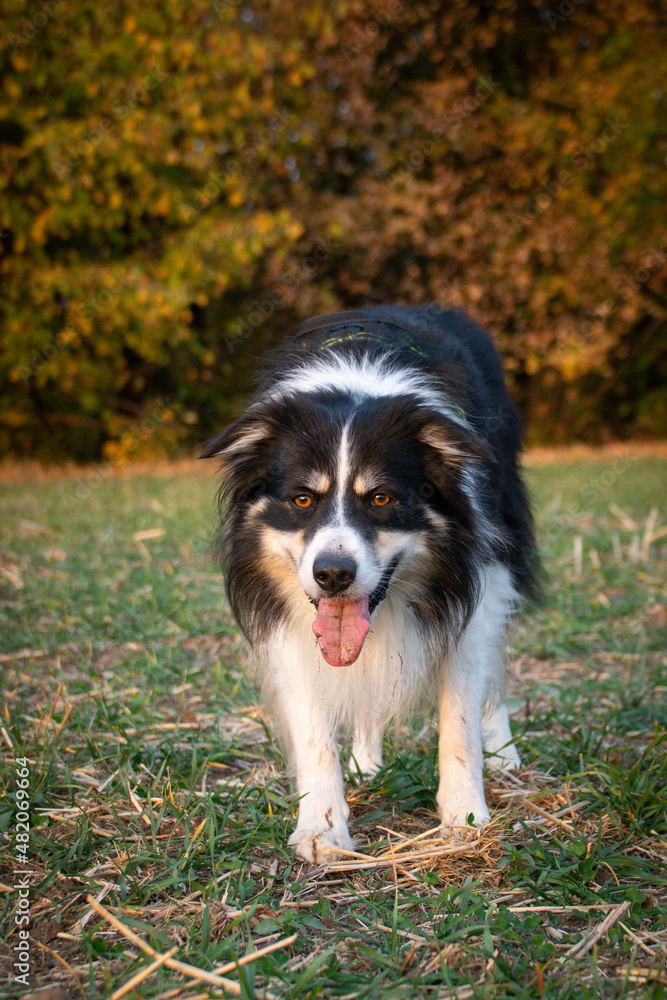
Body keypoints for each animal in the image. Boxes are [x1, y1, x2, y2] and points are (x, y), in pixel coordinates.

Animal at [201, 304, 540, 860]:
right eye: (301, 499)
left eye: (381, 498)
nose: (333, 575)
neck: (357, 384)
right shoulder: (291, 623)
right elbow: (314, 725)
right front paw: (321, 826)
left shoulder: (475, 580)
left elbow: (460, 715)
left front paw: (465, 818)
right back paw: (365, 762)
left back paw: (503, 752)